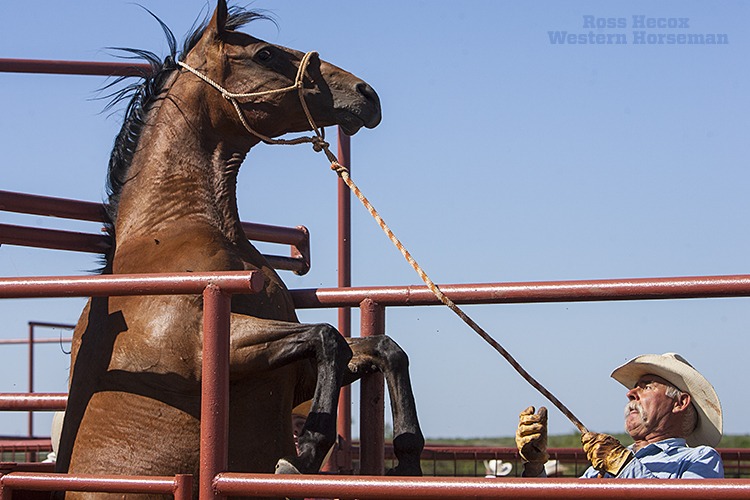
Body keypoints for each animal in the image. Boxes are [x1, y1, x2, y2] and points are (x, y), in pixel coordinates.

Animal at [55, 1, 424, 498]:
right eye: (264, 54)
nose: (367, 94)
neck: (177, 232)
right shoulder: (207, 352)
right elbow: (326, 334)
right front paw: (302, 454)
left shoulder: (296, 376)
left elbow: (383, 349)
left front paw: (409, 459)